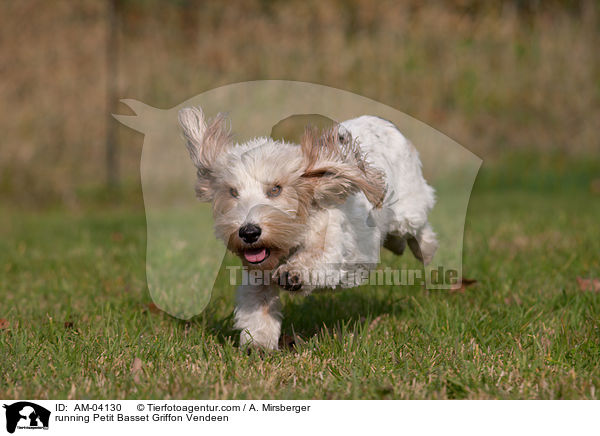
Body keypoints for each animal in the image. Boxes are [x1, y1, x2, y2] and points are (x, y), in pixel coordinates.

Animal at [178, 108, 436, 350]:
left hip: (408, 210)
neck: (291, 239)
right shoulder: (256, 276)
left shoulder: (333, 249)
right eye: (233, 192)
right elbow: (257, 308)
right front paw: (257, 344)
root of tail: (383, 121)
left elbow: (316, 259)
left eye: (276, 189)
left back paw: (425, 250)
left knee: (419, 229)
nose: (248, 232)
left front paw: (293, 273)